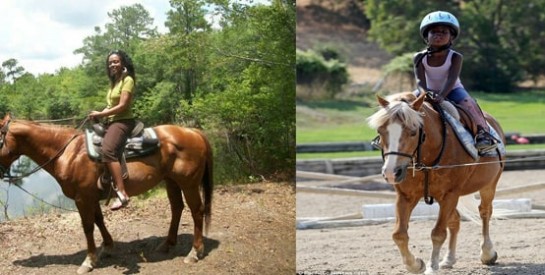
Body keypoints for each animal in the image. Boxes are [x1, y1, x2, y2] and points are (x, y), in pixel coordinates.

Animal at [0, 113, 212, 274]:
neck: (68, 152)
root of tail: (193, 132)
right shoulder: (91, 197)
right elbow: (99, 220)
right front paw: (107, 247)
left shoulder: (82, 198)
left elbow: (87, 227)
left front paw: (88, 261)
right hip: (172, 181)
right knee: (177, 208)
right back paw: (167, 244)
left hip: (189, 183)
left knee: (197, 211)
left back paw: (195, 252)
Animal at [368, 92, 504, 274]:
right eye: (381, 131)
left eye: (413, 132)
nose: (391, 172)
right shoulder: (406, 196)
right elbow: (399, 234)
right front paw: (416, 264)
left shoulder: (450, 195)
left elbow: (438, 233)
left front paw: (432, 266)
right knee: (455, 221)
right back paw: (448, 259)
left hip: (488, 185)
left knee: (485, 212)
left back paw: (487, 253)